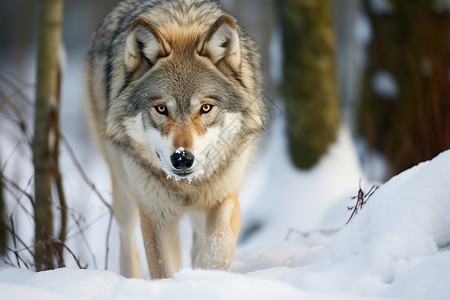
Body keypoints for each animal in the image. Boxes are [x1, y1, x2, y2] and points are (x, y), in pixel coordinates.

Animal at [84, 0, 264, 278]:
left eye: (205, 108)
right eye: (161, 109)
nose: (181, 158)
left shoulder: (224, 196)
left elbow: (220, 244)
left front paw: (204, 274)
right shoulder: (155, 213)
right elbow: (163, 268)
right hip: (123, 193)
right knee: (128, 243)